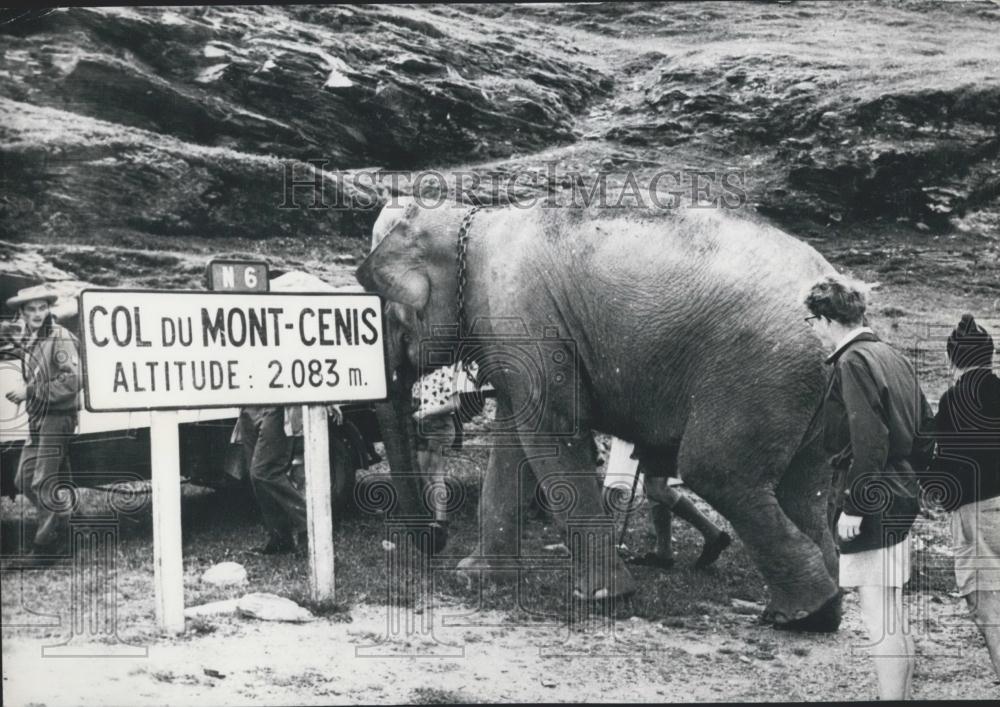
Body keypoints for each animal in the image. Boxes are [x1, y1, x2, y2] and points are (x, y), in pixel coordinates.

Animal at [360, 198, 844, 632]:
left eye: (385, 309)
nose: (433, 540)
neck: (468, 221)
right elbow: (514, 440)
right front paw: (475, 576)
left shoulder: (525, 323)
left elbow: (553, 433)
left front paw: (602, 597)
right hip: (809, 391)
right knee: (804, 488)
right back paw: (819, 611)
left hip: (756, 372)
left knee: (716, 473)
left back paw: (803, 613)